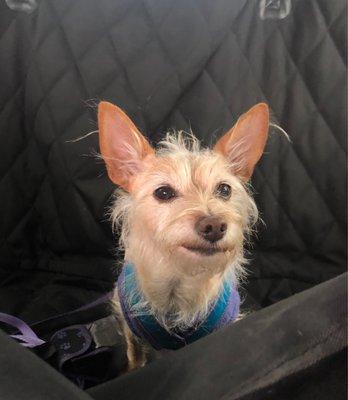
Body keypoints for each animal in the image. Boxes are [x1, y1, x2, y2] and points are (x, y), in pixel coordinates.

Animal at [97, 101, 270, 370]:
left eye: (224, 189)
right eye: (163, 192)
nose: (214, 225)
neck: (179, 277)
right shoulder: (129, 326)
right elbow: (135, 355)